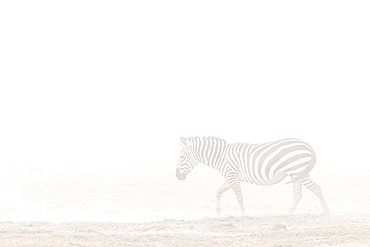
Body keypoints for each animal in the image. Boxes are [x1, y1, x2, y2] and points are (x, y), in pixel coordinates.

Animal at [176, 136, 330, 215]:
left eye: (182, 157)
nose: (177, 176)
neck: (221, 156)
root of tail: (306, 144)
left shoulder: (232, 176)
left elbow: (239, 195)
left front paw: (244, 214)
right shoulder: (229, 178)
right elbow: (218, 192)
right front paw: (218, 212)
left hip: (298, 171)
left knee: (317, 188)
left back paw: (326, 212)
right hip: (295, 174)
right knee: (298, 194)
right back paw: (289, 213)